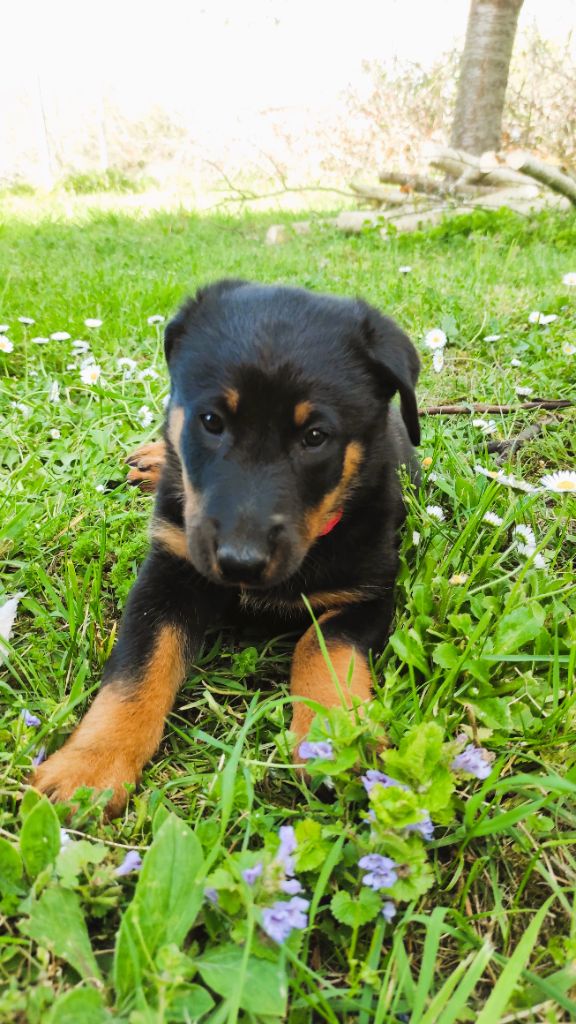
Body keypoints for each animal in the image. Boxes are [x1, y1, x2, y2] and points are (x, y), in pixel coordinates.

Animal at [34, 279, 420, 815]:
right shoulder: (167, 574)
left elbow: (321, 646)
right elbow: (136, 673)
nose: (240, 562)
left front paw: (333, 739)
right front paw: (89, 768)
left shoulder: (368, 593)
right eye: (211, 421)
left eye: (316, 437)